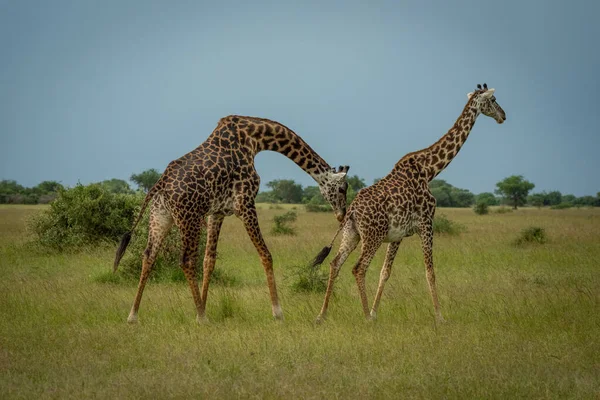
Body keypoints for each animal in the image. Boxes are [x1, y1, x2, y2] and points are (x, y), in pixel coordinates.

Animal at [114, 115, 350, 322]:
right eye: (342, 188)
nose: (341, 215)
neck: (255, 140)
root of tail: (160, 184)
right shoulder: (245, 204)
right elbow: (266, 255)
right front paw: (278, 313)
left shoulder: (216, 212)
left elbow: (209, 260)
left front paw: (201, 306)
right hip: (189, 219)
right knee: (186, 260)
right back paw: (203, 319)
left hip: (160, 217)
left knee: (149, 256)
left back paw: (133, 316)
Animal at [314, 83, 506, 322]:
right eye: (494, 100)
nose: (503, 116)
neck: (429, 170)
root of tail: (351, 212)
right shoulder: (426, 223)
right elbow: (430, 272)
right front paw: (440, 317)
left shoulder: (397, 235)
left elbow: (385, 272)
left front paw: (376, 312)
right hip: (373, 236)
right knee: (359, 268)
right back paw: (365, 317)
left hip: (352, 234)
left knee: (335, 263)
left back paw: (322, 315)